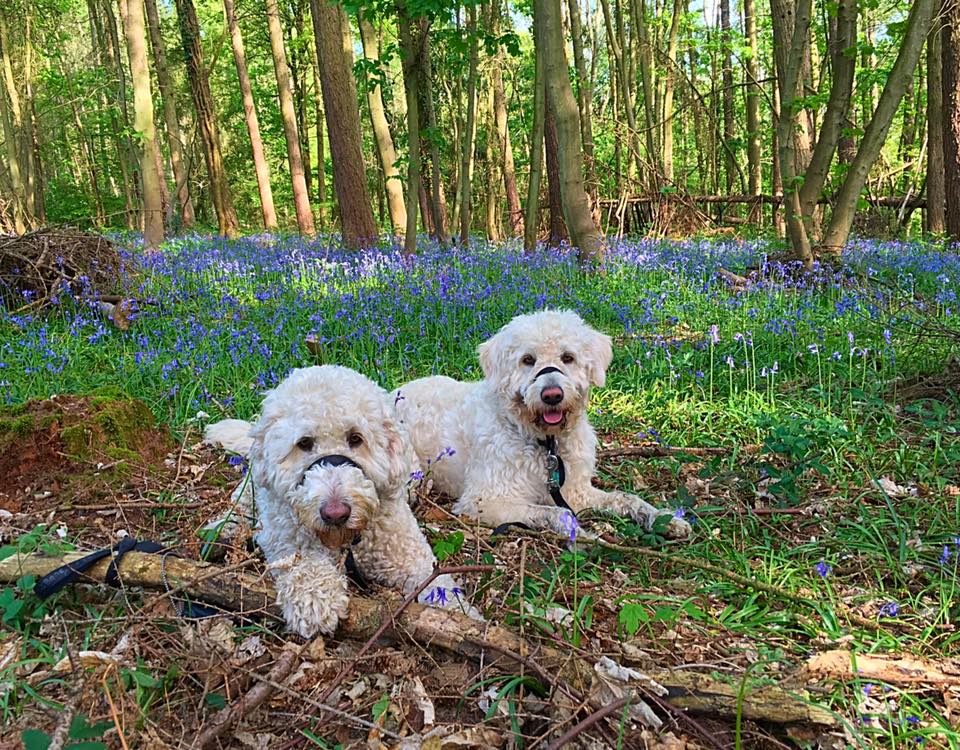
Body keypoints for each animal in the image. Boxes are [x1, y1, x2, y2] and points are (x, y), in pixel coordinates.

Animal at [205, 368, 476, 636]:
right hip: (256, 487)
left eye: (356, 438)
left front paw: (457, 613)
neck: (349, 542)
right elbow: (303, 561)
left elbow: (436, 581)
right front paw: (314, 597)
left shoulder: (409, 555)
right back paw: (222, 528)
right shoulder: (285, 537)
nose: (335, 513)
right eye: (304, 443)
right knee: (241, 503)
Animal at [390, 312, 688, 540]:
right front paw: (584, 535)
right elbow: (559, 513)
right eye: (527, 360)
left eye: (568, 357)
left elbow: (625, 498)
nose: (552, 395)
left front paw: (664, 518)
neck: (545, 445)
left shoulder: (576, 492)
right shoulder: (484, 501)